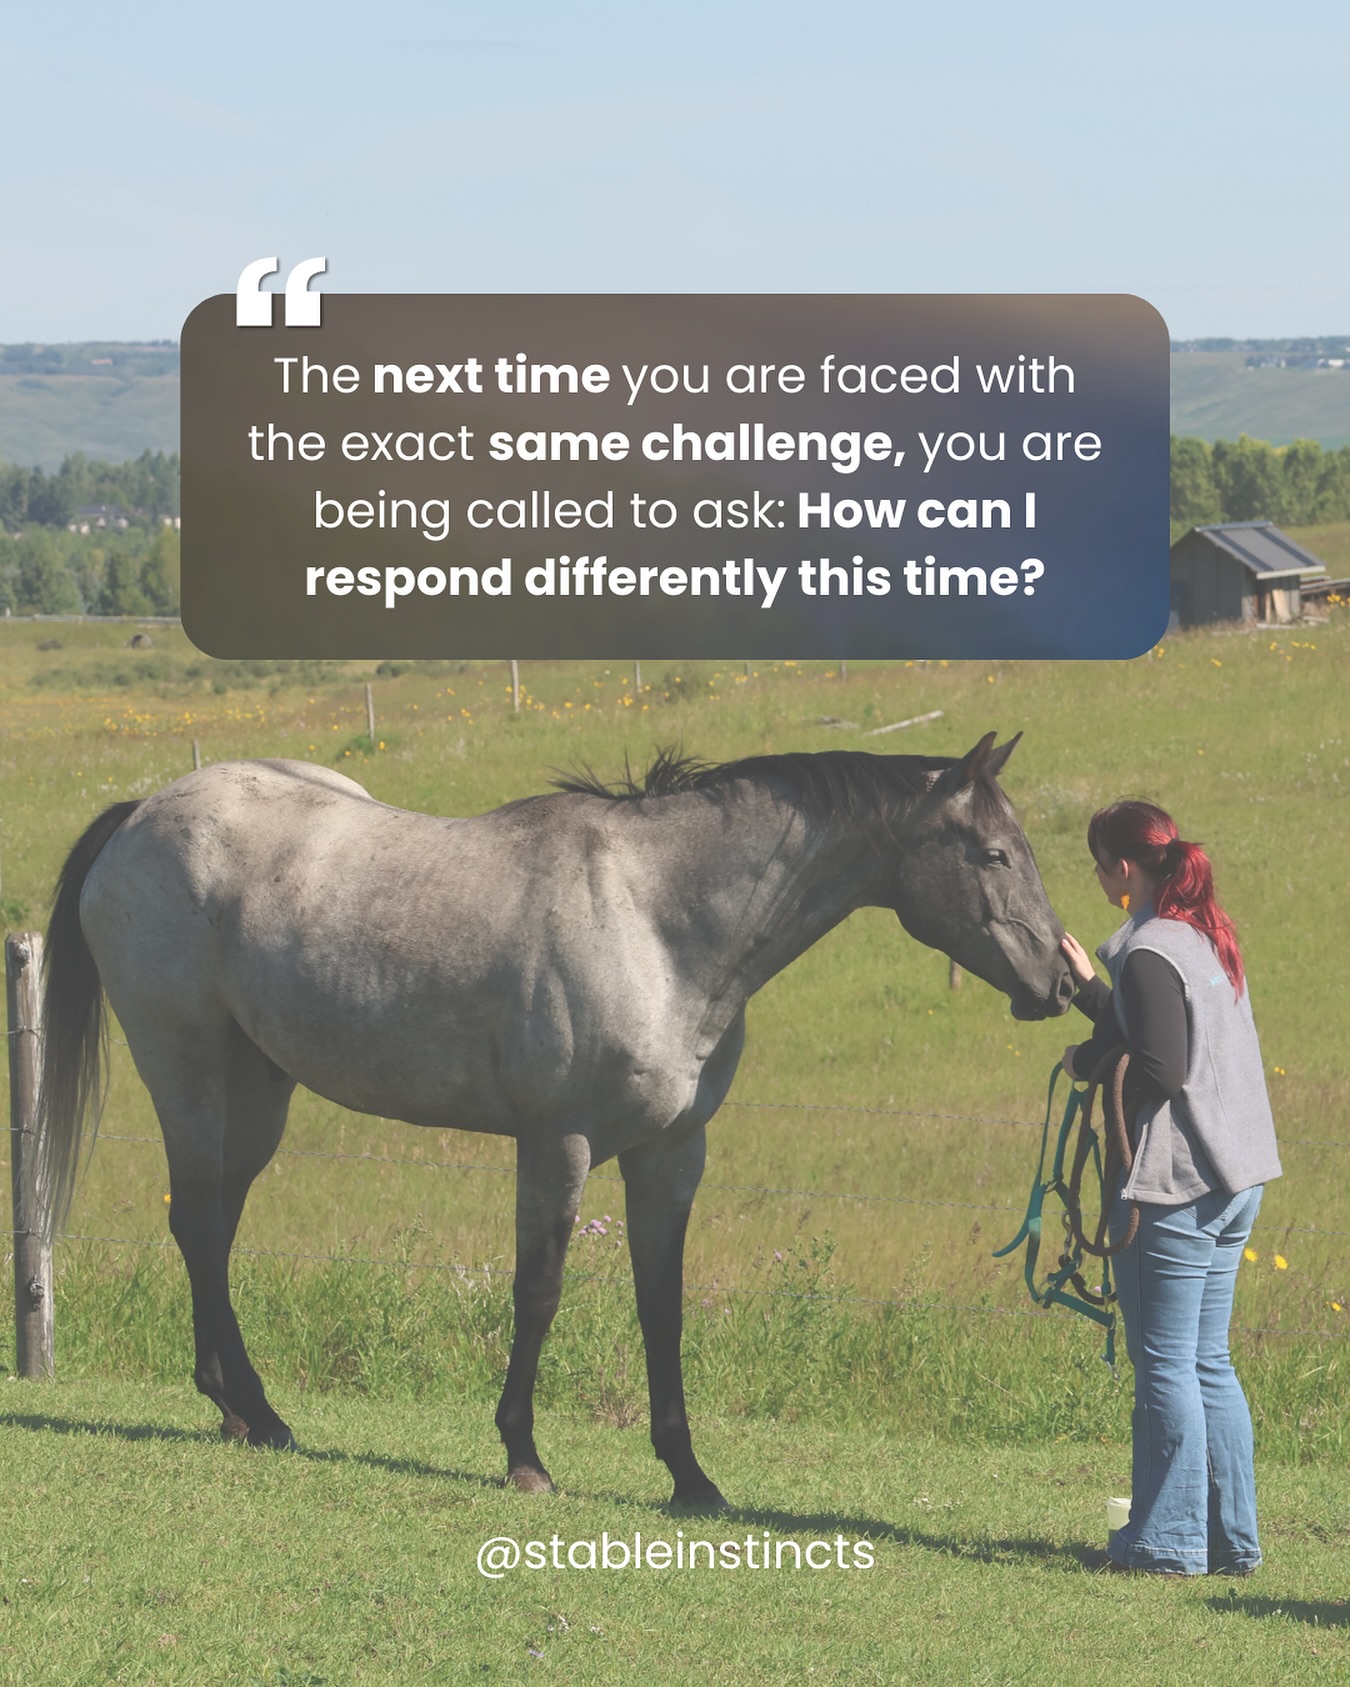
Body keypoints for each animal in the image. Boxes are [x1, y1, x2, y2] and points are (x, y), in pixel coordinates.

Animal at [38, 731, 1072, 1508]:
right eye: (992, 854)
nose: (1059, 985)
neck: (655, 922)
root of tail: (141, 812)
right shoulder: (558, 1142)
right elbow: (537, 1291)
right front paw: (524, 1456)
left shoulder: (671, 1153)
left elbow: (664, 1305)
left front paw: (691, 1476)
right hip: (189, 1070)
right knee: (197, 1220)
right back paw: (256, 1409)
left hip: (259, 1091)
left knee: (213, 1227)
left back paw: (238, 1410)